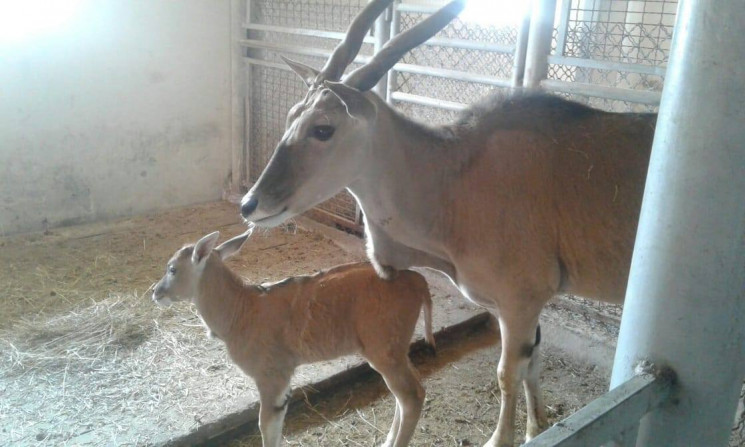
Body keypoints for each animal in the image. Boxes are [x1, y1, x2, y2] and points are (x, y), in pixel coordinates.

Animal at [151, 231, 434, 447]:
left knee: (411, 395)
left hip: (383, 348)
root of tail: (418, 281)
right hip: (397, 348)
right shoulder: (284, 378)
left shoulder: (270, 375)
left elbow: (266, 425)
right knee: (408, 391)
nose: (155, 292)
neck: (241, 311)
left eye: (172, 269)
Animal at [238, 1, 652, 446]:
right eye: (290, 118)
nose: (249, 204)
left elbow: (508, 374)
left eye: (323, 129)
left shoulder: (520, 302)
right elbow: (533, 364)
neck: (454, 178)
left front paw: (502, 437)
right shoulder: (526, 307)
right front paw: (536, 428)